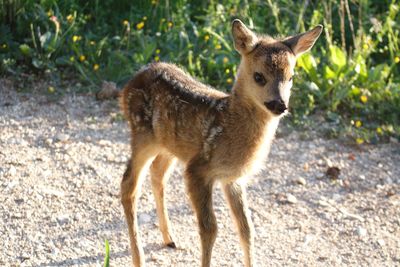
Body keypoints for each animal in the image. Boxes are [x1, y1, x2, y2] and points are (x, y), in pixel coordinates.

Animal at [119, 19, 322, 266]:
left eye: (291, 77)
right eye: (259, 76)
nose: (280, 105)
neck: (229, 124)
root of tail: (129, 84)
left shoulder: (232, 178)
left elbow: (246, 228)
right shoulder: (198, 169)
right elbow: (210, 229)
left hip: (169, 146)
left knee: (158, 175)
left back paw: (169, 239)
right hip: (142, 135)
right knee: (128, 186)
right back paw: (139, 258)